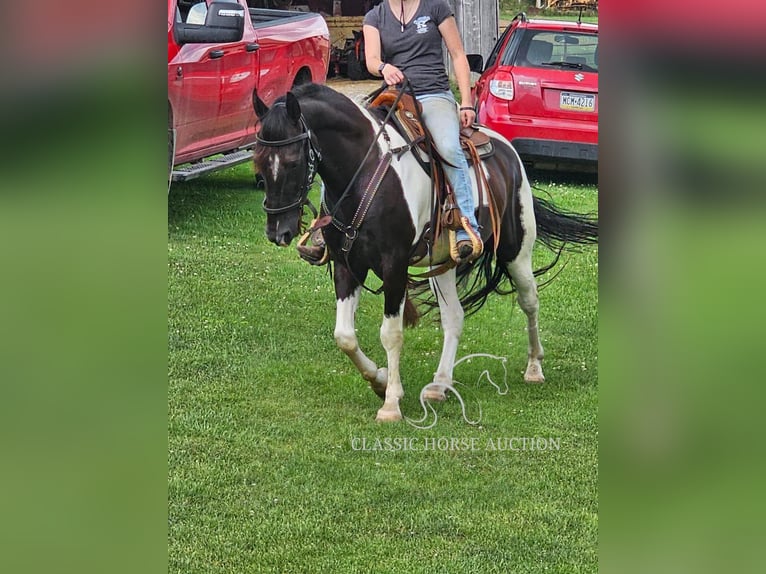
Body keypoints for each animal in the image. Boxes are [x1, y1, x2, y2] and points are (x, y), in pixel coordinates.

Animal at [254, 82, 600, 424]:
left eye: (293, 162)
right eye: (258, 163)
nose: (278, 232)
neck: (365, 172)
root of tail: (508, 153)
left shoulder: (394, 267)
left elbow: (391, 334)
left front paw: (391, 403)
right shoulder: (346, 264)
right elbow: (345, 336)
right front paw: (379, 380)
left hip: (516, 251)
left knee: (529, 302)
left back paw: (534, 368)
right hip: (444, 263)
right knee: (454, 317)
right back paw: (440, 385)